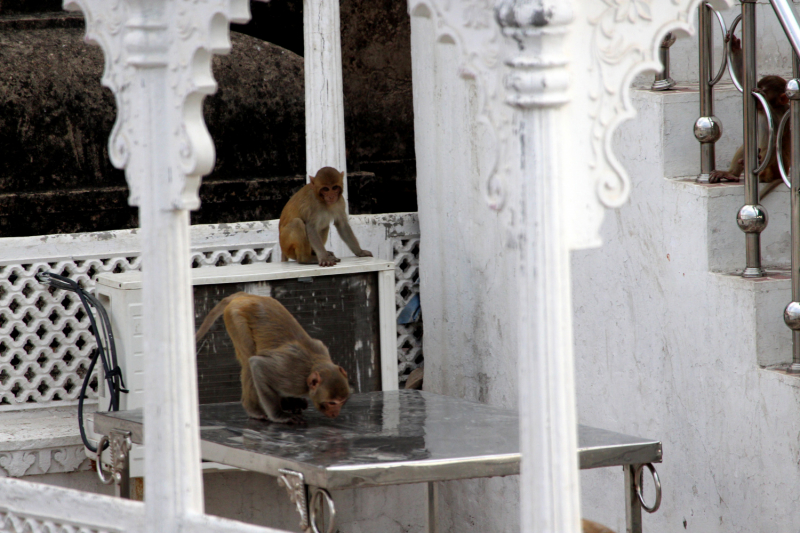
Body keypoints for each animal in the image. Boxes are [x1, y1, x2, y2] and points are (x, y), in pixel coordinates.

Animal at [194, 290, 350, 424]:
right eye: (331, 403)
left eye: (342, 402)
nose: (335, 413)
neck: (313, 366)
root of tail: (246, 297)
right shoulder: (293, 378)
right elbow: (257, 365)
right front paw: (279, 415)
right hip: (235, 317)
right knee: (248, 360)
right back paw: (254, 410)